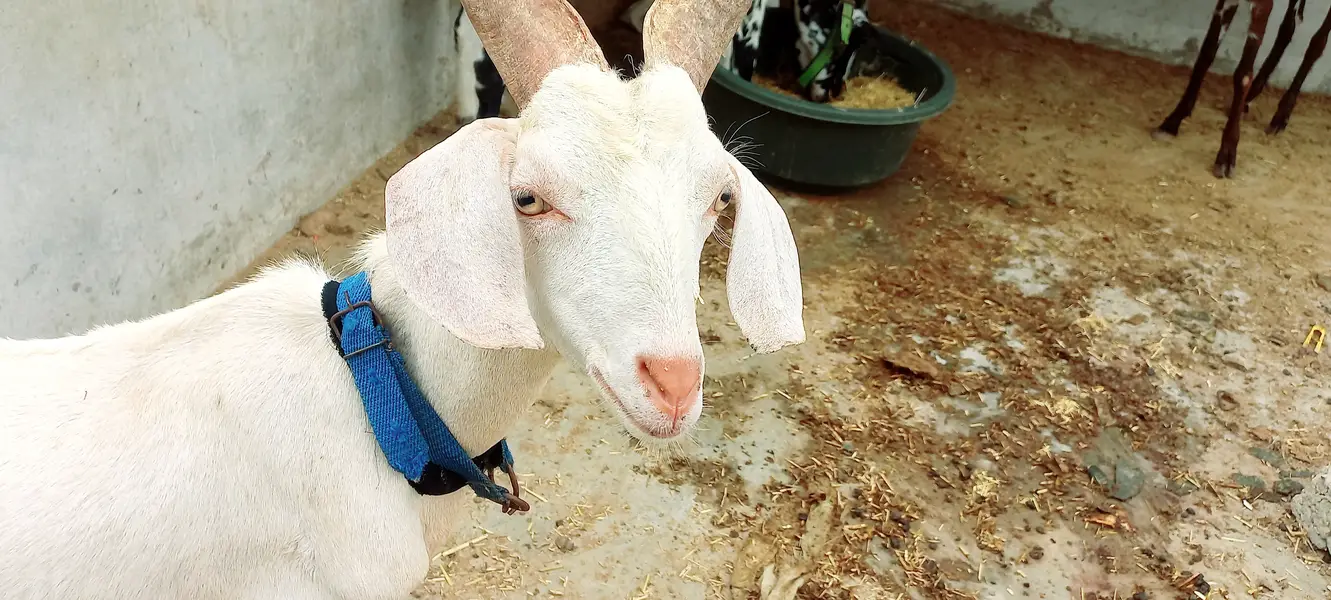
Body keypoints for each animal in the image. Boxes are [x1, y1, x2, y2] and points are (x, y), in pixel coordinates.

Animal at [1155, 0, 1331, 177]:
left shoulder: (1262, 6)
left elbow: (1243, 74)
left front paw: (1226, 155)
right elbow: (1206, 53)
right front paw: (1172, 121)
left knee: (1318, 41)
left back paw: (1281, 116)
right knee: (1288, 27)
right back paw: (1251, 98)